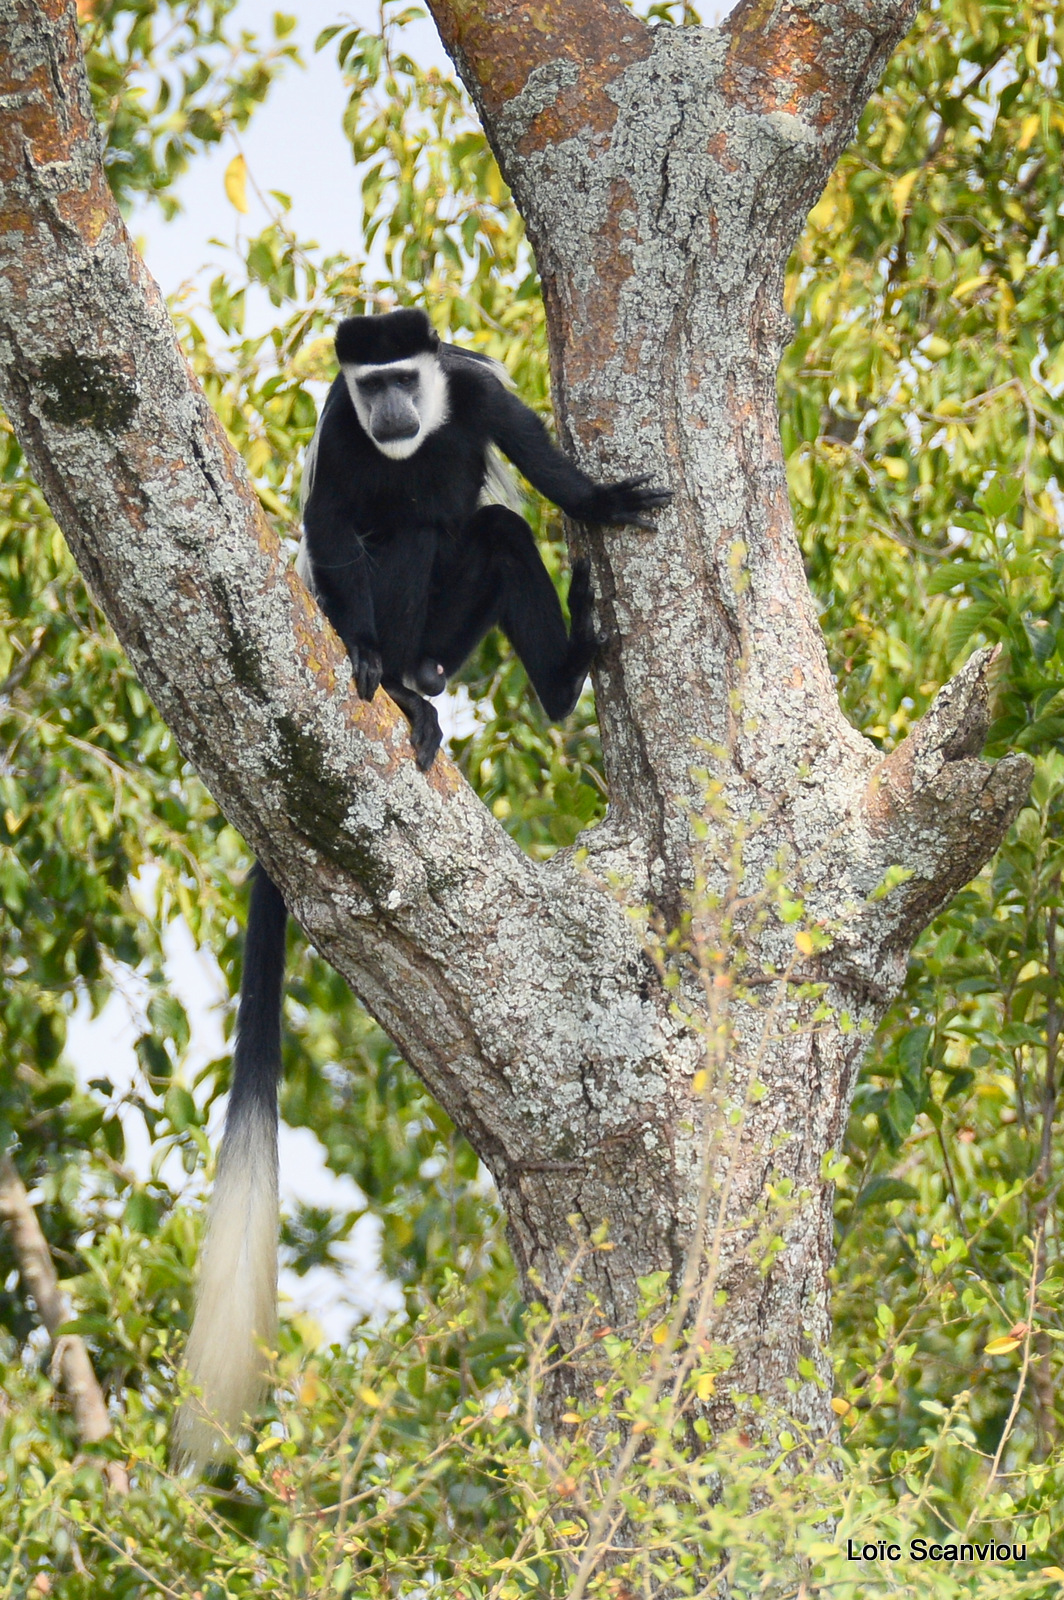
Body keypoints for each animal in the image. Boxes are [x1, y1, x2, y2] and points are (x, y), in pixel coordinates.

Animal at [175, 305, 672, 1465]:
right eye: (370, 387)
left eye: (408, 374)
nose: (396, 409)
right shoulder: (336, 430)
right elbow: (334, 524)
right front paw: (359, 652)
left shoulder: (475, 391)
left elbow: (534, 466)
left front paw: (604, 501)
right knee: (389, 546)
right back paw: (397, 686)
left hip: (461, 625)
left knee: (492, 536)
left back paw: (554, 677)